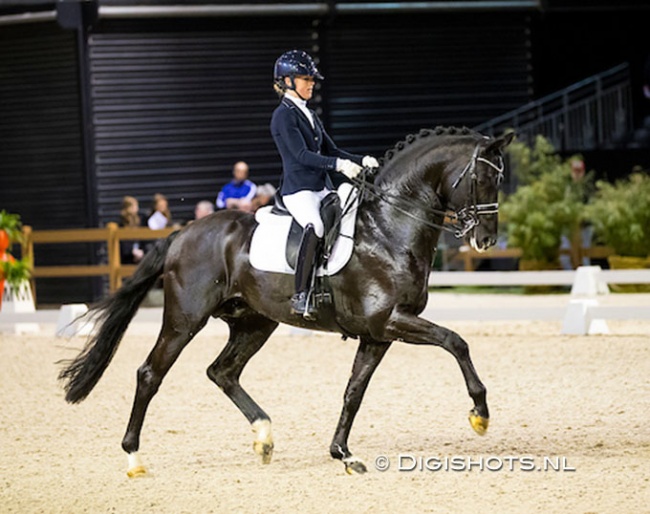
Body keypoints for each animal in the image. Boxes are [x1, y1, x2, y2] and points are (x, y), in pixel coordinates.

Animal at [62, 126, 516, 474]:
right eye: (481, 178)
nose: (485, 240)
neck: (388, 228)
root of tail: (181, 233)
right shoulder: (390, 320)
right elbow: (456, 341)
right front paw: (480, 415)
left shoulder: (377, 334)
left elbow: (354, 392)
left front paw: (343, 454)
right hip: (185, 319)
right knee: (150, 375)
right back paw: (134, 458)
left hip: (255, 322)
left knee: (222, 372)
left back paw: (264, 437)